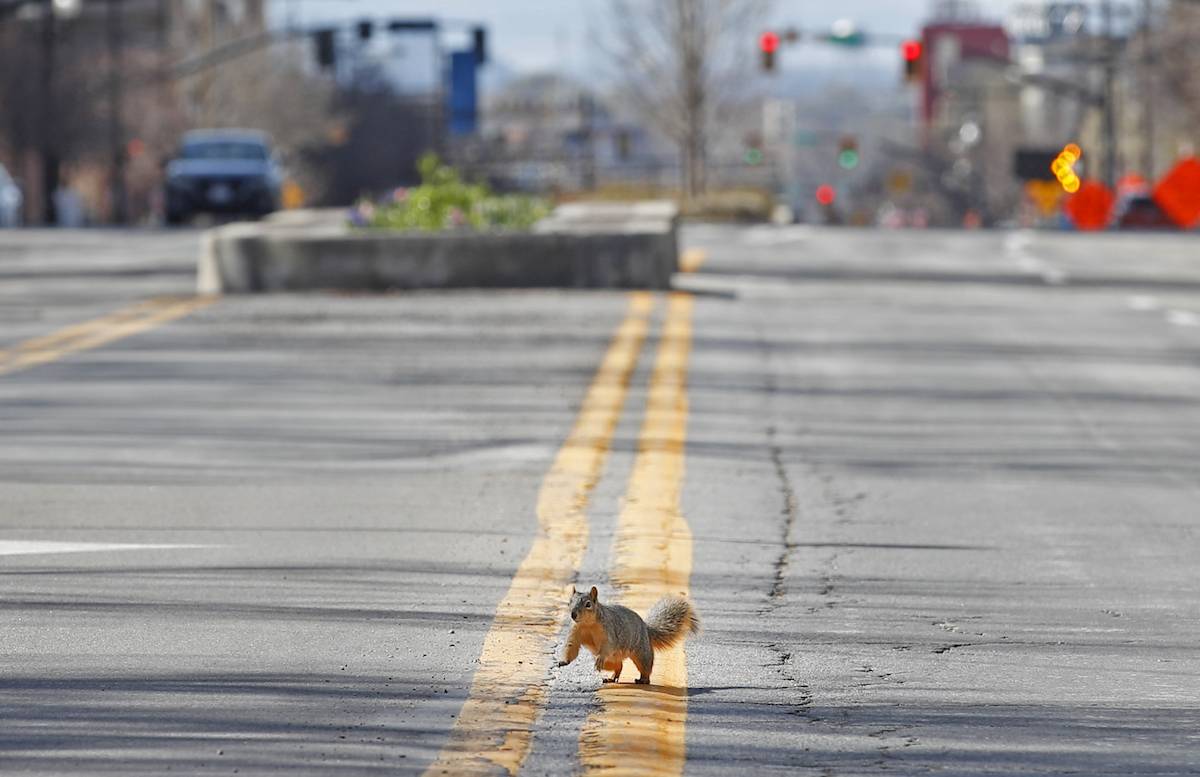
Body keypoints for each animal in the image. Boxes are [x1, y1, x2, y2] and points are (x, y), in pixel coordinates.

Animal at [554, 585, 700, 681]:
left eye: (588, 604)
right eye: (569, 602)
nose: (573, 614)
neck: (587, 624)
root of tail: (645, 628)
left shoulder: (609, 631)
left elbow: (608, 646)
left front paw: (600, 657)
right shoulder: (575, 631)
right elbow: (571, 646)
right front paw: (563, 661)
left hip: (642, 653)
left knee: (646, 668)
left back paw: (642, 679)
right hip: (611, 661)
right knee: (619, 666)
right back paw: (612, 677)